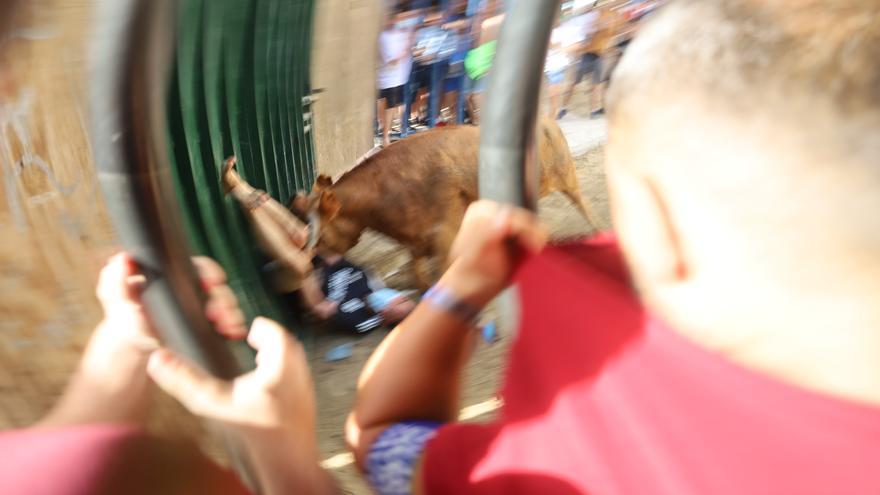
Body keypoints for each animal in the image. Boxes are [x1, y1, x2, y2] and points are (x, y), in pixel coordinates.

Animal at [300, 118, 596, 288]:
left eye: (321, 237)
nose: (316, 265)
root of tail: (548, 119)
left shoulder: (446, 231)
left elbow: (442, 275)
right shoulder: (417, 239)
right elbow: (421, 277)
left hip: (568, 176)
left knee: (584, 205)